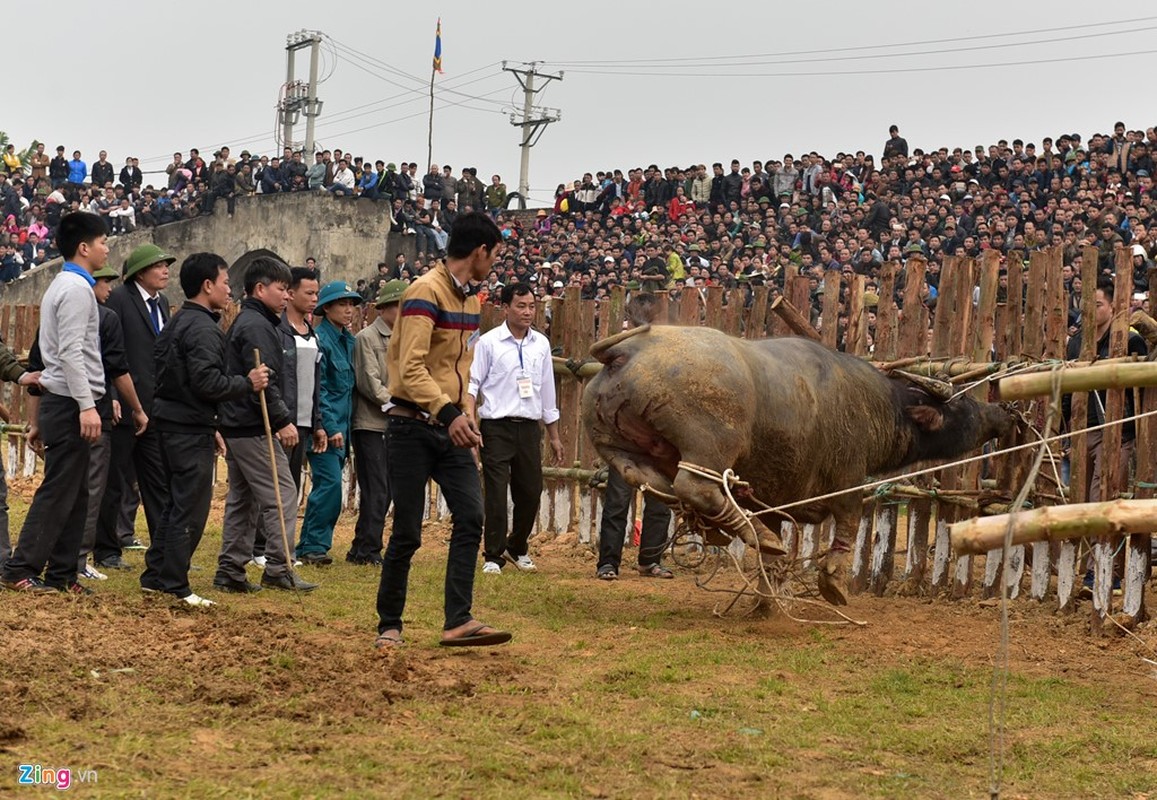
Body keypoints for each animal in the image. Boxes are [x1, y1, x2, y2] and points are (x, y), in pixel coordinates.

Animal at [583, 326, 1008, 606]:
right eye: (962, 406)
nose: (1001, 413)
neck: (875, 405)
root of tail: (622, 354)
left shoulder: (774, 494)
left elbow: (775, 534)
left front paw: (771, 593)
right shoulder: (849, 477)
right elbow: (849, 523)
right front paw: (832, 581)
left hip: (617, 445)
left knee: (652, 482)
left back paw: (734, 531)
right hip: (708, 443)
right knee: (694, 486)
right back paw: (742, 530)